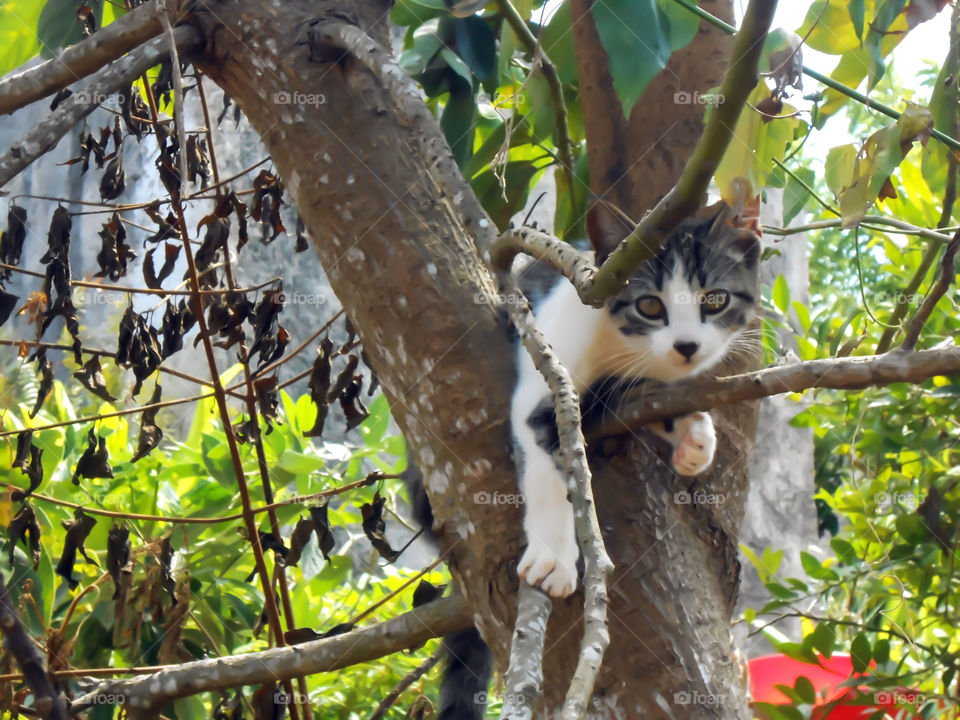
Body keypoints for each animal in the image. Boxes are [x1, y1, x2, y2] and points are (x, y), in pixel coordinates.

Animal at [512, 201, 760, 596]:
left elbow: (646, 398)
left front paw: (694, 437)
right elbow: (547, 470)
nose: (687, 345)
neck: (619, 341)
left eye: (716, 299)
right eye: (650, 306)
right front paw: (553, 558)